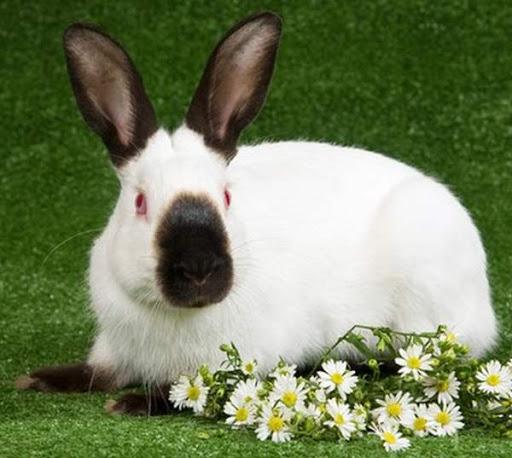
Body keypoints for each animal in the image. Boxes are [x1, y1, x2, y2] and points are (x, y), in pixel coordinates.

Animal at [16, 13, 496, 416]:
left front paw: (134, 403)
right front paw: (37, 379)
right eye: (140, 203)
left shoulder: (239, 360)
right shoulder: (114, 347)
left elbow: (186, 392)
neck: (173, 313)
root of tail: (485, 305)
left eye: (227, 197)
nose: (199, 269)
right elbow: (96, 372)